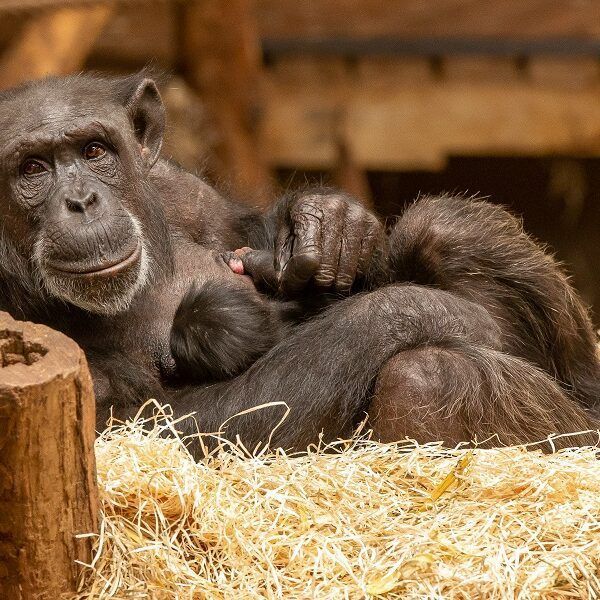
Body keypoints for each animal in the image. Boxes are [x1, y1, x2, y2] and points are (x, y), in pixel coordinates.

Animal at [0, 71, 596, 454]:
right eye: (32, 168)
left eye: (94, 151)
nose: (81, 201)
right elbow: (180, 422)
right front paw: (421, 308)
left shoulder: (178, 187)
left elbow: (244, 229)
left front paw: (330, 222)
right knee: (424, 379)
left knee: (445, 227)